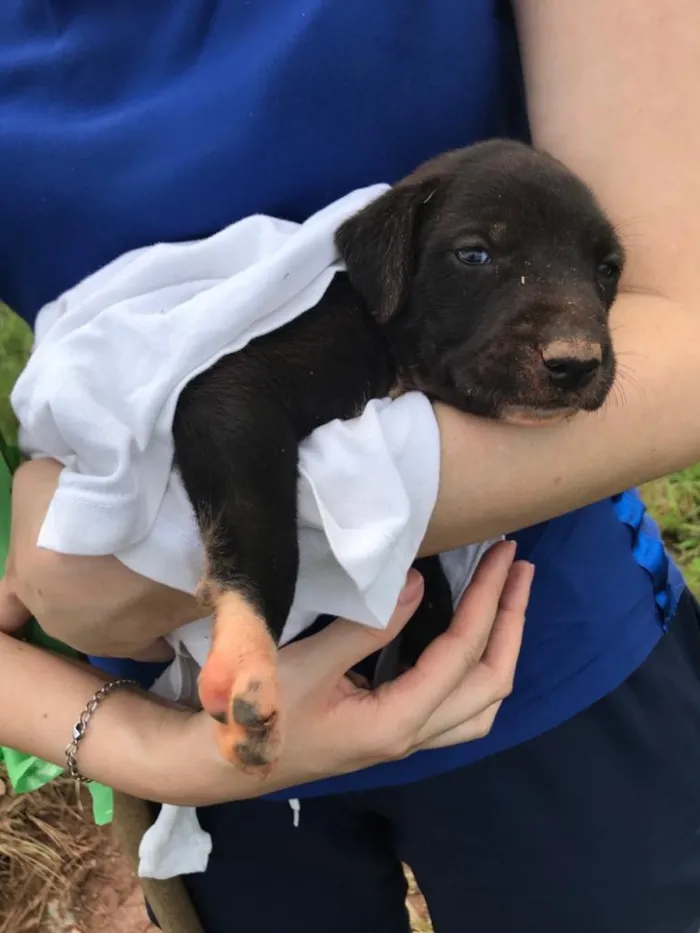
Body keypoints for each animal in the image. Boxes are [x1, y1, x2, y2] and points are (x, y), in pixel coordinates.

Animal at [174, 137, 624, 764]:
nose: (576, 363)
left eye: (607, 270)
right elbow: (262, 533)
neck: (394, 352)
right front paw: (248, 664)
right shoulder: (233, 393)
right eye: (474, 254)